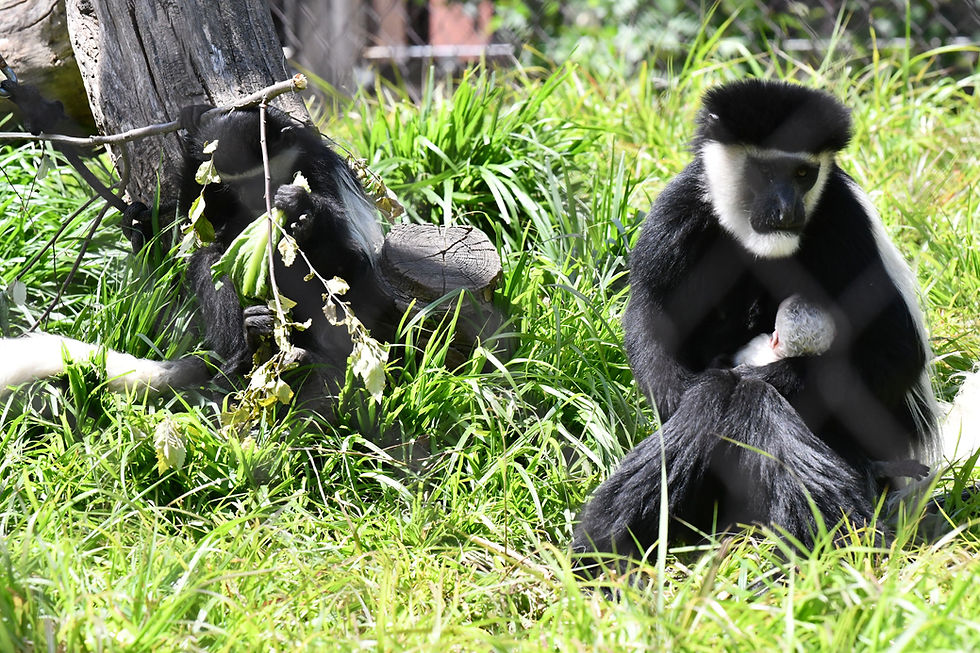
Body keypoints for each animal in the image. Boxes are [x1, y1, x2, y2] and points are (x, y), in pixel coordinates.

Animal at [571, 79, 939, 571]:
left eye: (803, 174)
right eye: (766, 171)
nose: (787, 211)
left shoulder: (844, 222)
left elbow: (894, 350)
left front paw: (763, 376)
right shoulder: (677, 209)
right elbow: (650, 317)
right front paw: (682, 392)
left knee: (758, 403)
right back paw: (608, 549)